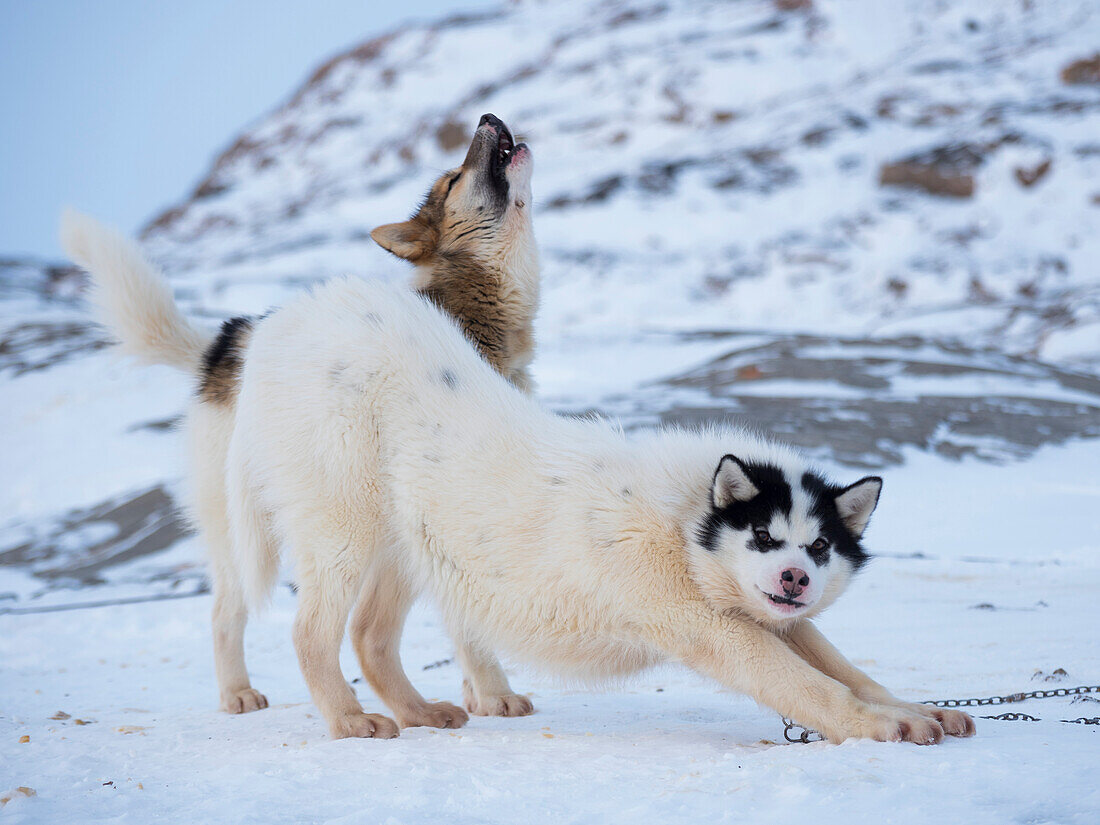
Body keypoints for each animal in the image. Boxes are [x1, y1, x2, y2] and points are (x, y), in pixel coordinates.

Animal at [61, 113, 541, 726]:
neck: (470, 302)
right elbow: (471, 631)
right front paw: (496, 695)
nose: (487, 117)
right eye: (454, 177)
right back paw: (248, 695)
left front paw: (476, 697)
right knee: (236, 617)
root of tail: (228, 345)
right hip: (270, 532)